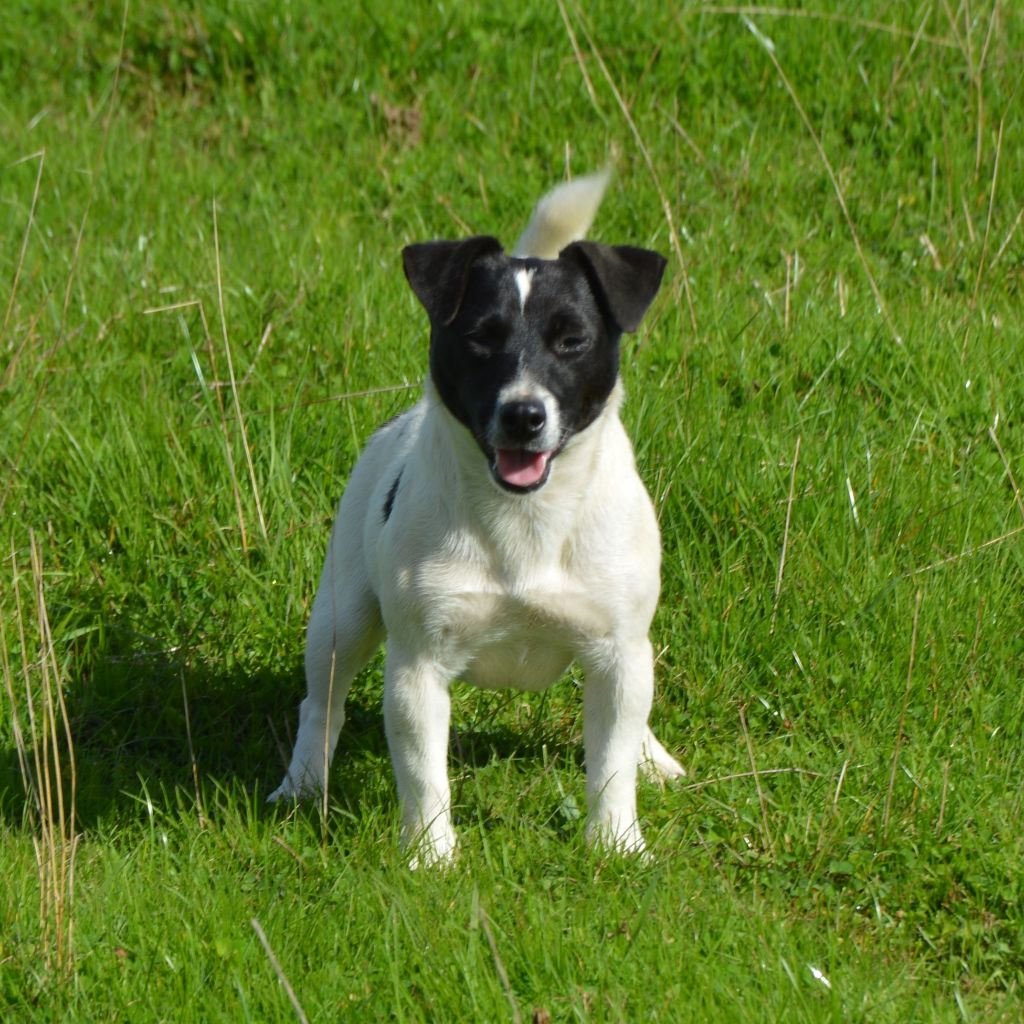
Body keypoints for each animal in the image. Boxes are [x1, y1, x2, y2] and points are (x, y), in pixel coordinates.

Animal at [268, 174, 684, 864]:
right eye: (481, 340)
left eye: (572, 341)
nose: (523, 414)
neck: (527, 519)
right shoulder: (417, 666)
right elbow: (423, 775)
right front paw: (430, 857)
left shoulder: (618, 649)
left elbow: (611, 763)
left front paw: (617, 844)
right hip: (341, 615)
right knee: (320, 702)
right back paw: (301, 784)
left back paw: (653, 756)